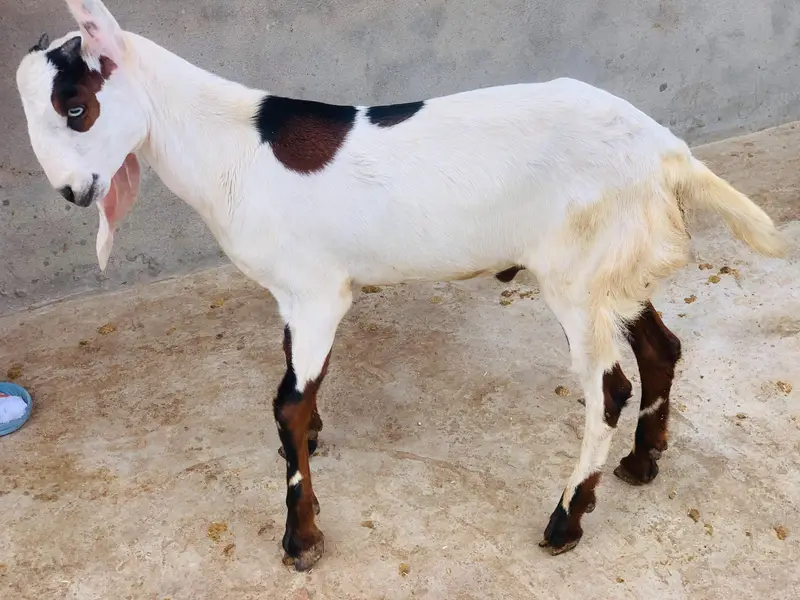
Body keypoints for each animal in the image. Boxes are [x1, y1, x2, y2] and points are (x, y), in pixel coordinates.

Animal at [16, 0, 788, 571]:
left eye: (77, 108)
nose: (73, 192)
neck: (229, 143)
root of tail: (668, 151)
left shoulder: (317, 291)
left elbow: (286, 405)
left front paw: (302, 538)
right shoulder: (294, 297)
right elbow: (302, 389)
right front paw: (313, 446)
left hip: (575, 273)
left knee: (610, 387)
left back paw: (567, 519)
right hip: (612, 265)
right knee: (661, 349)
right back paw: (643, 461)